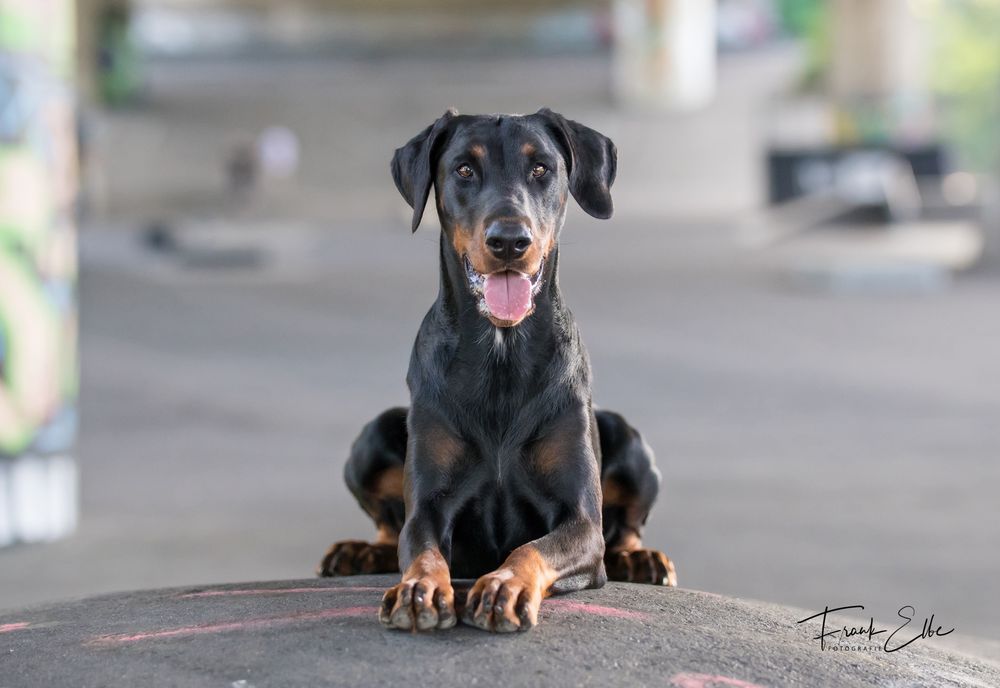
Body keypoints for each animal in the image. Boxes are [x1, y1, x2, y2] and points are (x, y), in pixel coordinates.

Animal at [318, 109, 680, 636]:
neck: (501, 353)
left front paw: (503, 587)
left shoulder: (580, 522)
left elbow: (533, 548)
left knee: (625, 528)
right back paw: (361, 551)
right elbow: (420, 545)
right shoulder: (428, 507)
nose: (509, 240)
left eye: (542, 168)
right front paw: (419, 589)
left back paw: (640, 558)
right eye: (464, 169)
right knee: (389, 524)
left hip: (627, 439)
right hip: (375, 433)